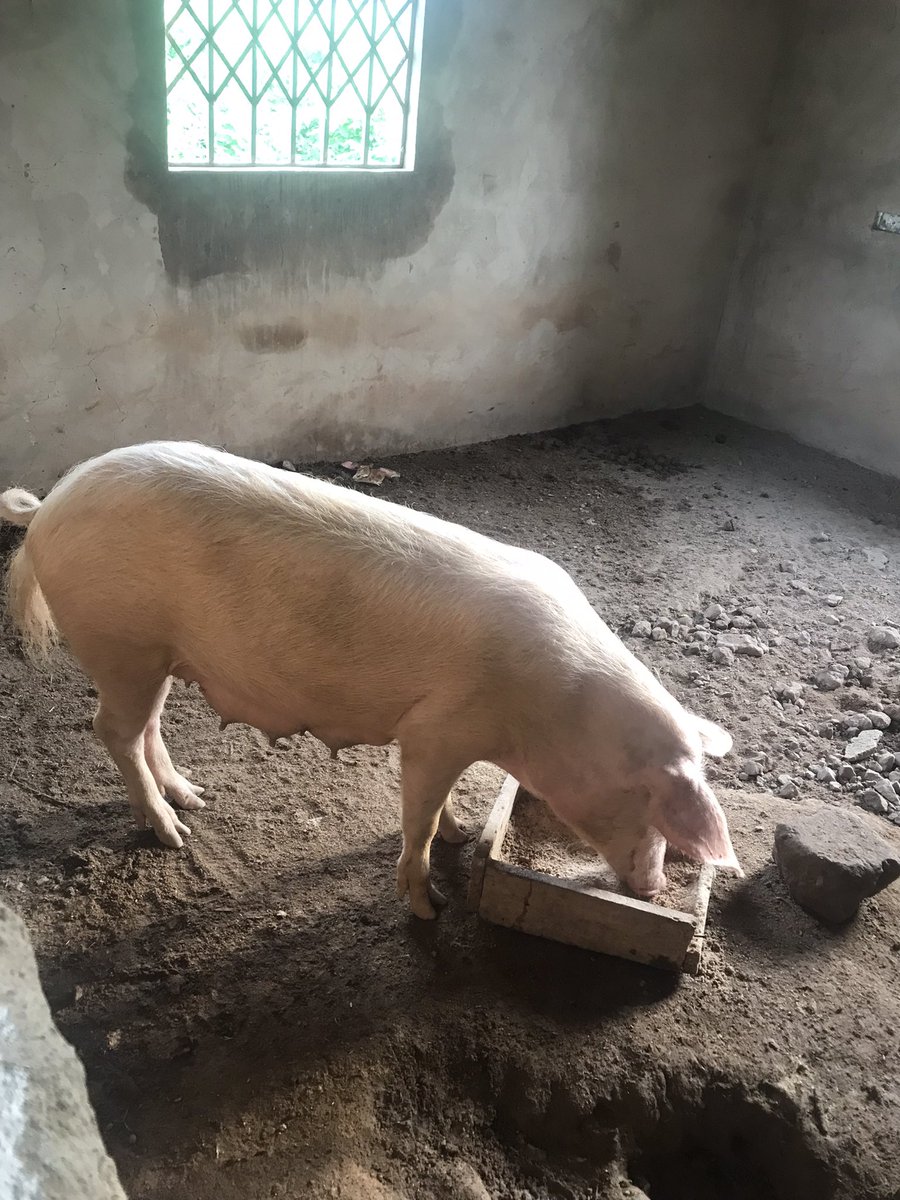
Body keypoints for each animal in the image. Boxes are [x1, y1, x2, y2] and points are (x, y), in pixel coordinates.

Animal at [1, 442, 740, 918]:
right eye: (652, 806)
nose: (654, 889)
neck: (556, 713)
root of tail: (47, 508)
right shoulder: (436, 730)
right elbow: (418, 815)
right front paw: (428, 907)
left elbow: (435, 805)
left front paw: (459, 838)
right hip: (120, 642)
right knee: (112, 729)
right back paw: (172, 832)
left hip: (154, 656)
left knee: (146, 726)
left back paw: (194, 798)